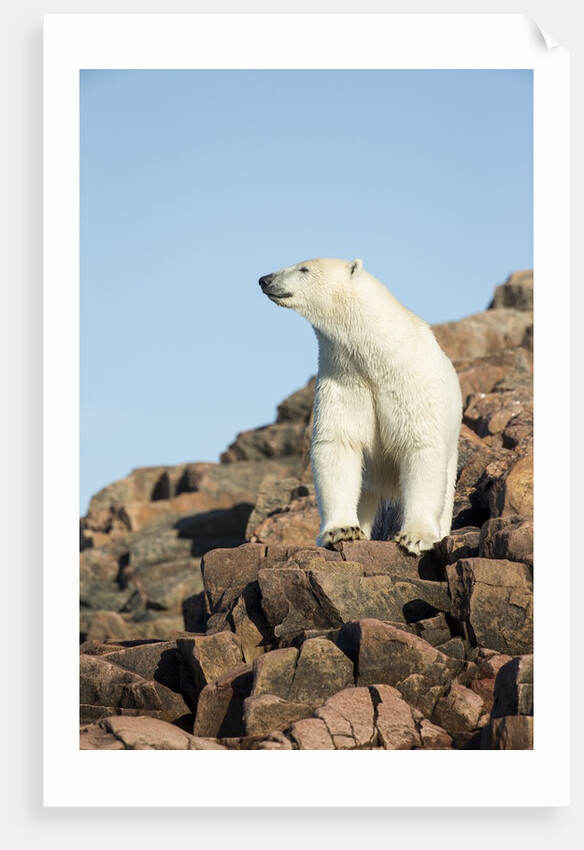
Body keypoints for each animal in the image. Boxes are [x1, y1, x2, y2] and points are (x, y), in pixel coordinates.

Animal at [258, 258, 462, 555]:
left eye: (303, 269)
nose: (265, 279)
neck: (376, 357)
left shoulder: (411, 383)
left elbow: (420, 446)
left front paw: (415, 537)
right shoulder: (344, 381)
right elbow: (338, 445)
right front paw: (341, 531)